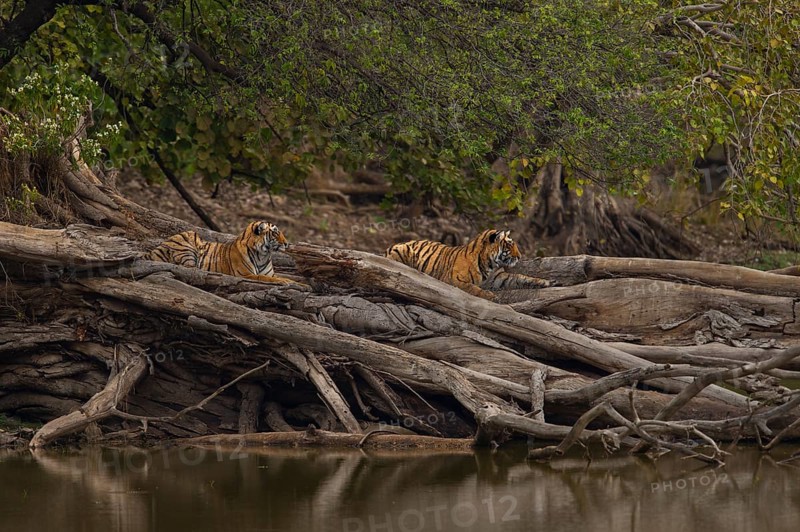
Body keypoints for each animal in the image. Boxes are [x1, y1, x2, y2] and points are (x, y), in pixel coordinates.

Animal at [146, 220, 298, 284]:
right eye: (275, 233)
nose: (287, 243)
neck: (264, 255)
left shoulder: (270, 272)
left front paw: (300, 284)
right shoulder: (245, 274)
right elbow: (266, 278)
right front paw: (285, 281)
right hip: (188, 238)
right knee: (189, 269)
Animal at [385, 229, 550, 299]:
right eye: (509, 245)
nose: (520, 256)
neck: (491, 263)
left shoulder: (500, 277)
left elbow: (521, 277)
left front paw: (545, 282)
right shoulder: (454, 279)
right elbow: (473, 288)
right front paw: (489, 295)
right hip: (402, 250)